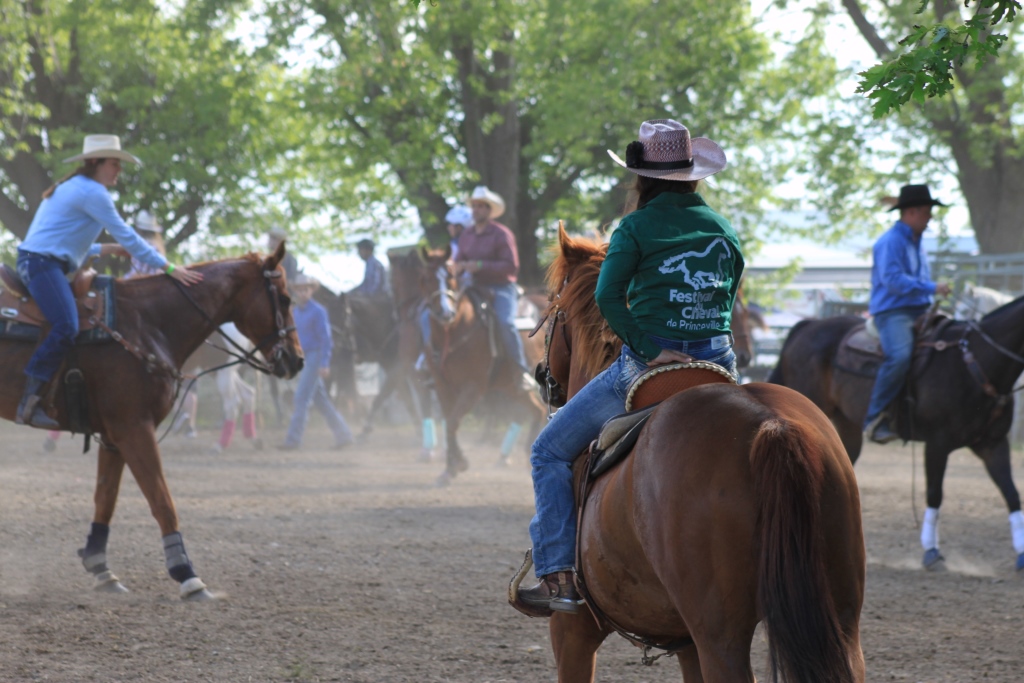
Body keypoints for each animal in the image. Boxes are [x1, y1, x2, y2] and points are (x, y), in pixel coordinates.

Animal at [1, 244, 299, 598]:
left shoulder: (114, 436)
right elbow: (161, 500)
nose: (297, 360)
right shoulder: (133, 429)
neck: (146, 323)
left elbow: (106, 497)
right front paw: (186, 573)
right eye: (285, 299)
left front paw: (101, 567)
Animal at [536, 229, 864, 683]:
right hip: (842, 618)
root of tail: (770, 426)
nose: (541, 377)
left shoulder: (572, 631)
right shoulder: (685, 642)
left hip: (720, 636)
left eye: (553, 307)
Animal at [770, 296, 1024, 569]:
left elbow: (1012, 494)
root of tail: (807, 326)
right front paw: (931, 550)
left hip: (846, 426)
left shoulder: (993, 444)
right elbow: (935, 494)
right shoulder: (937, 444)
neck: (975, 362)